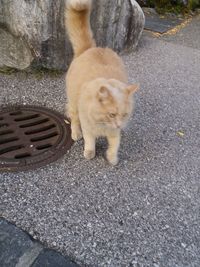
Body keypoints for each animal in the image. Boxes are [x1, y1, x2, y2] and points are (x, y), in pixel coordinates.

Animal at [65, 0, 139, 165]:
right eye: (112, 114)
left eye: (124, 115)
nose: (119, 124)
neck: (103, 125)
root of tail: (90, 48)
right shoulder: (88, 127)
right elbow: (90, 141)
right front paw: (89, 153)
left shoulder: (114, 133)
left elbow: (114, 146)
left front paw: (112, 159)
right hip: (73, 103)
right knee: (73, 119)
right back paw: (75, 133)